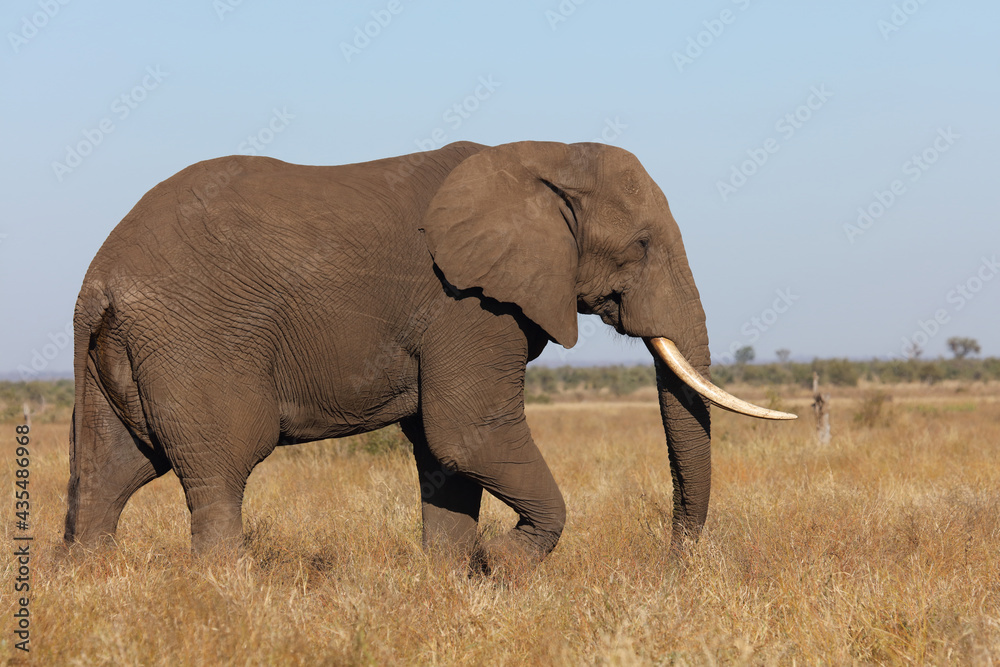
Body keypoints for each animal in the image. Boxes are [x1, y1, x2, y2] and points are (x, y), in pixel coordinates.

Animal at [64, 140, 794, 569]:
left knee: (114, 470)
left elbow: (444, 455)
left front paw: (452, 583)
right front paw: (502, 566)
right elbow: (467, 434)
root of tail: (98, 277)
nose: (673, 566)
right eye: (641, 245)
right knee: (220, 466)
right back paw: (226, 593)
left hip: (124, 351)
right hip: (196, 338)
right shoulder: (467, 304)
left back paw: (90, 585)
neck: (541, 156)